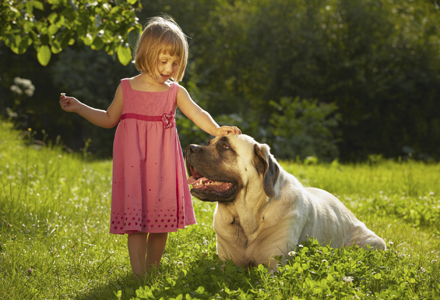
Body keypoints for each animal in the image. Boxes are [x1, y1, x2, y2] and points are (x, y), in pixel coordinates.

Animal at [185, 135, 384, 268]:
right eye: (209, 143)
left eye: (225, 146)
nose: (189, 147)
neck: (248, 217)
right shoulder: (228, 264)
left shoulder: (275, 265)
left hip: (371, 243)